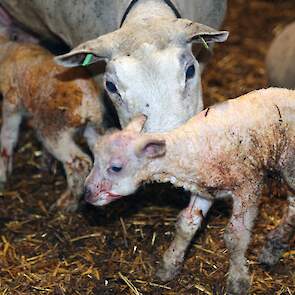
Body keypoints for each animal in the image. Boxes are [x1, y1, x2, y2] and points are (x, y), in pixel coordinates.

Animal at [84, 88, 295, 295]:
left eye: (116, 167)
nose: (87, 193)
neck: (190, 149)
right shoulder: (204, 190)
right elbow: (187, 224)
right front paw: (169, 266)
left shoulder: (249, 186)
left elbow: (236, 237)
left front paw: (238, 281)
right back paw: (274, 246)